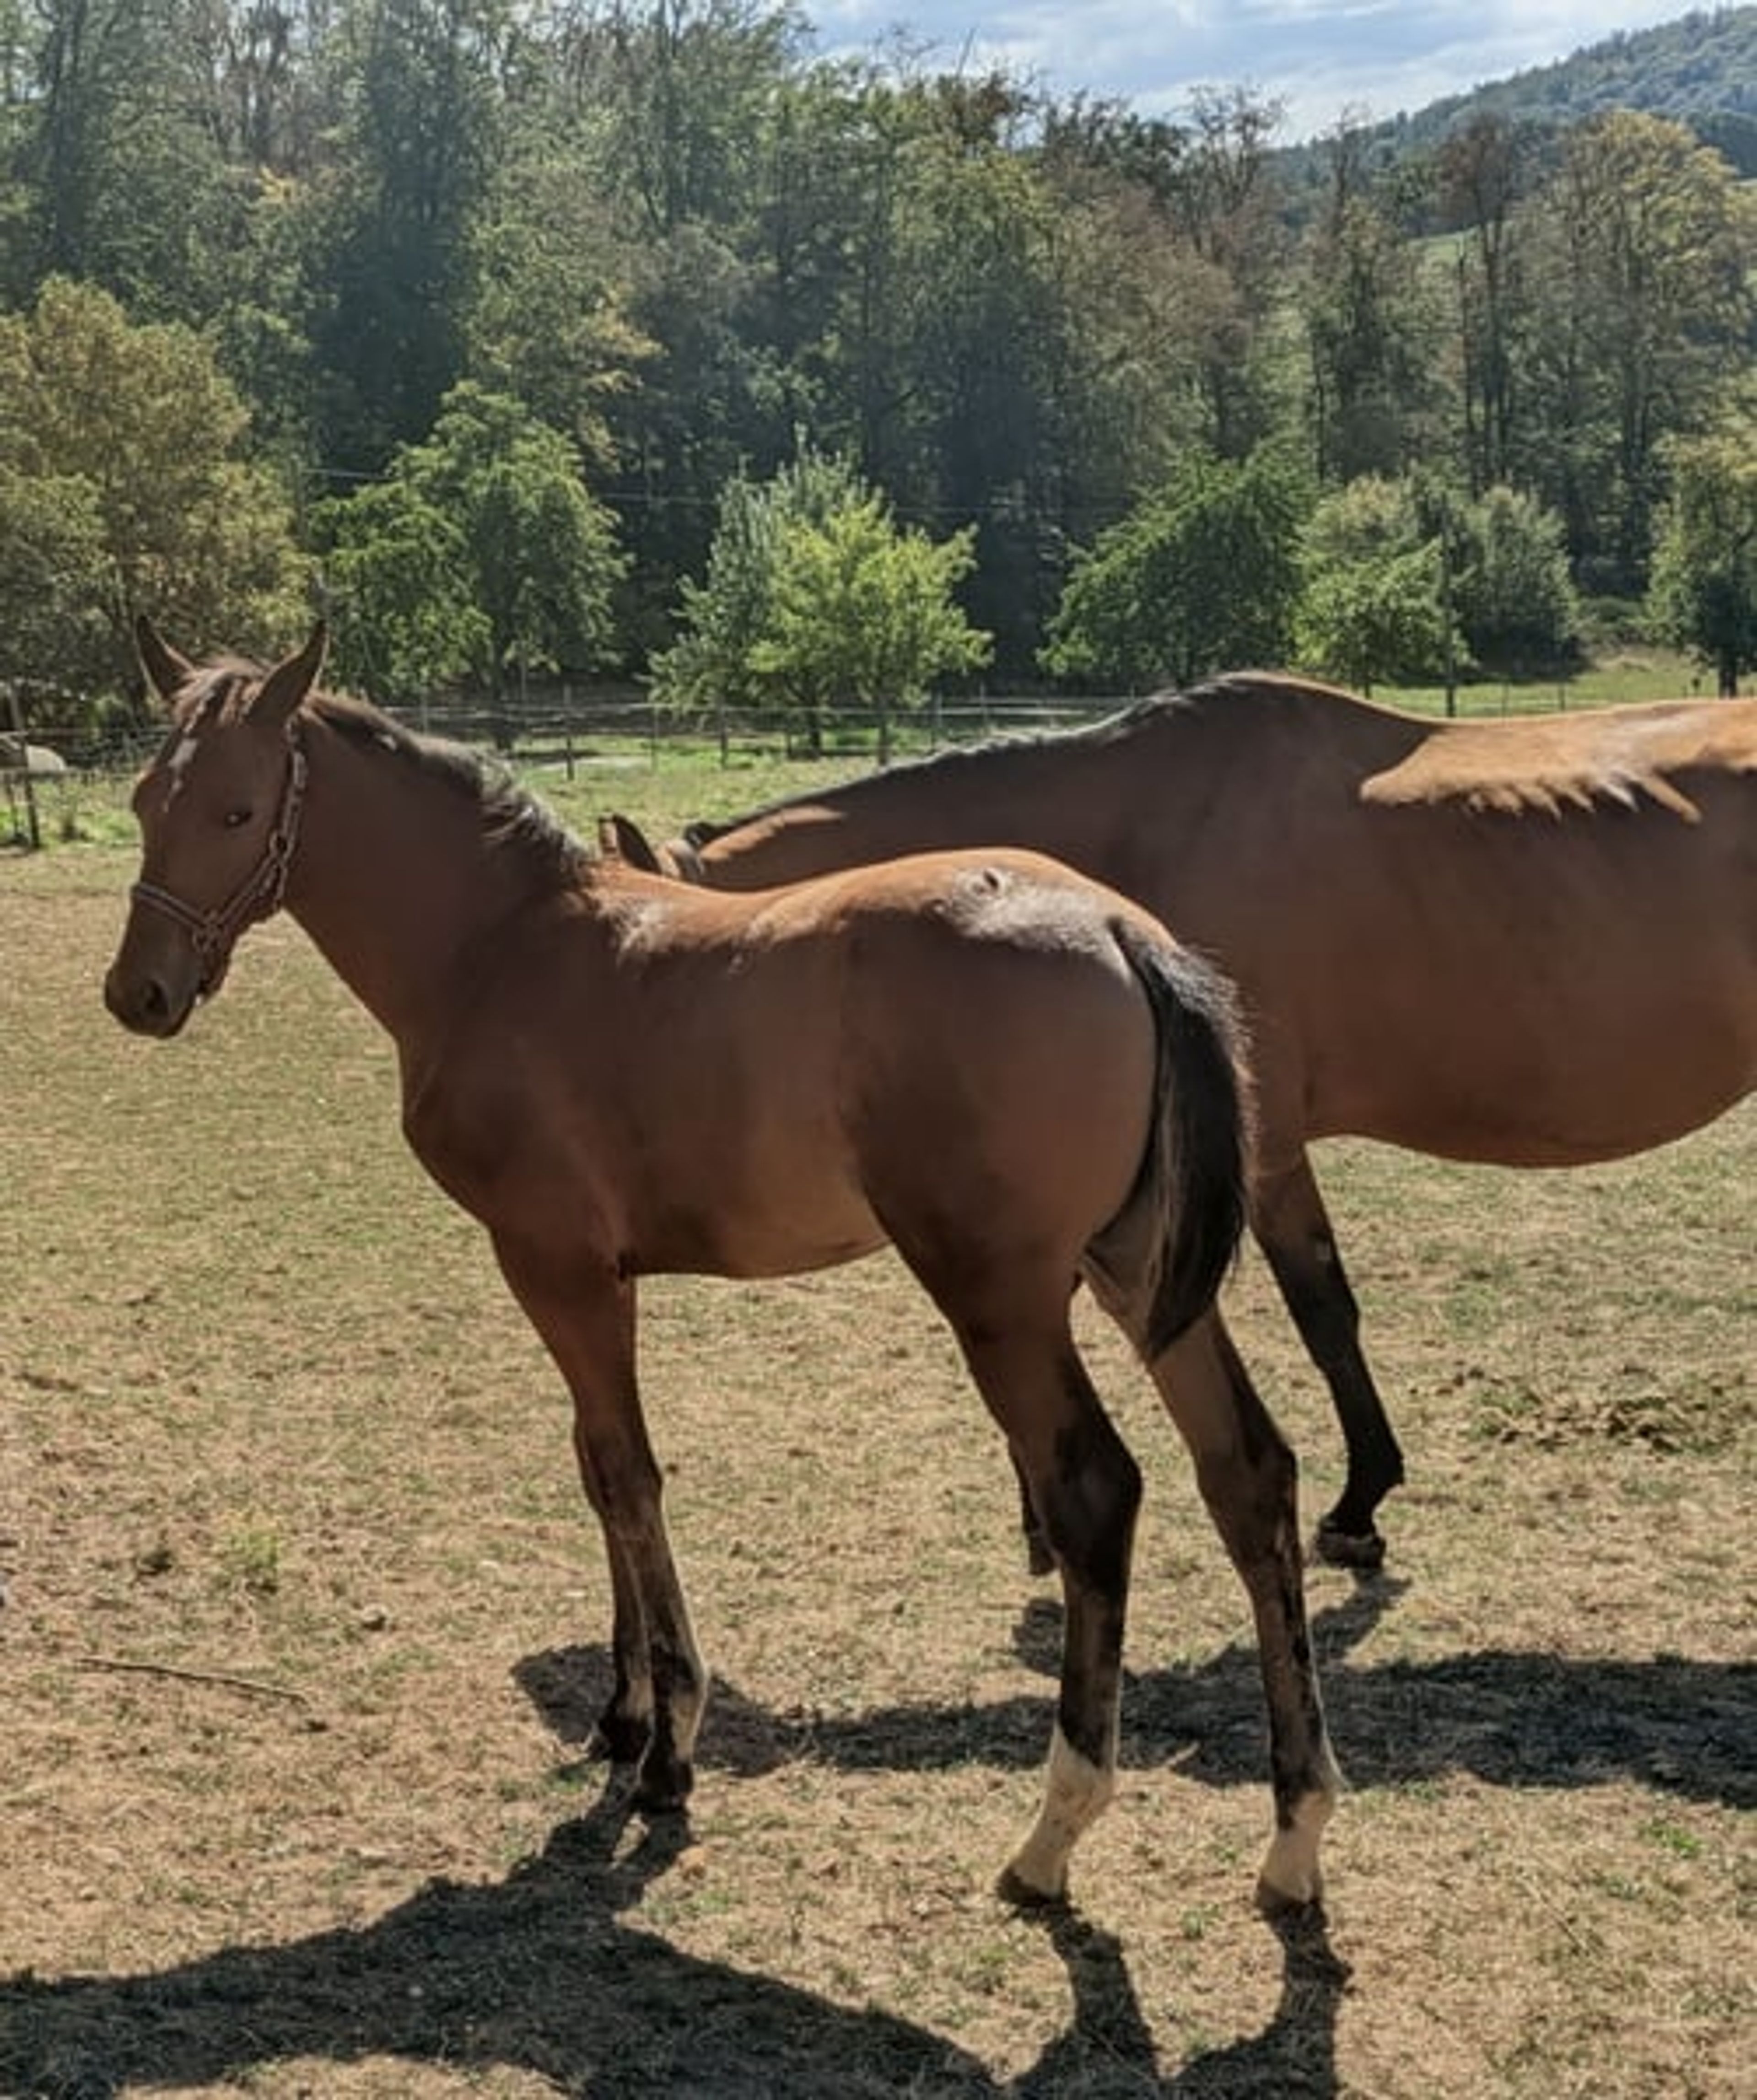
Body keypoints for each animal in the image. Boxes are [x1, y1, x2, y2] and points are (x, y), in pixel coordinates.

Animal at [103, 623, 1339, 1915]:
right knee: (1248, 1474)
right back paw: (1292, 1835)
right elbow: (596, 1468)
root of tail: (1120, 934)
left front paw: (668, 1748)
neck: (498, 947)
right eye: (144, 799)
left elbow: (628, 1475)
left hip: (1003, 1296)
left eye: (239, 810)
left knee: (1096, 1495)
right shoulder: (597, 1277)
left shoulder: (552, 1267)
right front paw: (621, 1709)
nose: (140, 992)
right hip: (1138, 1274)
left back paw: (1051, 1836)